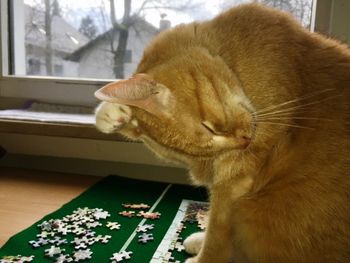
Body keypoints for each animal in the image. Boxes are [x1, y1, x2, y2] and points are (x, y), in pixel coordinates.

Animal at [94, 4, 348, 263]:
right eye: (202, 149)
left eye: (210, 127)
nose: (245, 142)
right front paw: (112, 113)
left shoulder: (232, 181)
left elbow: (217, 234)